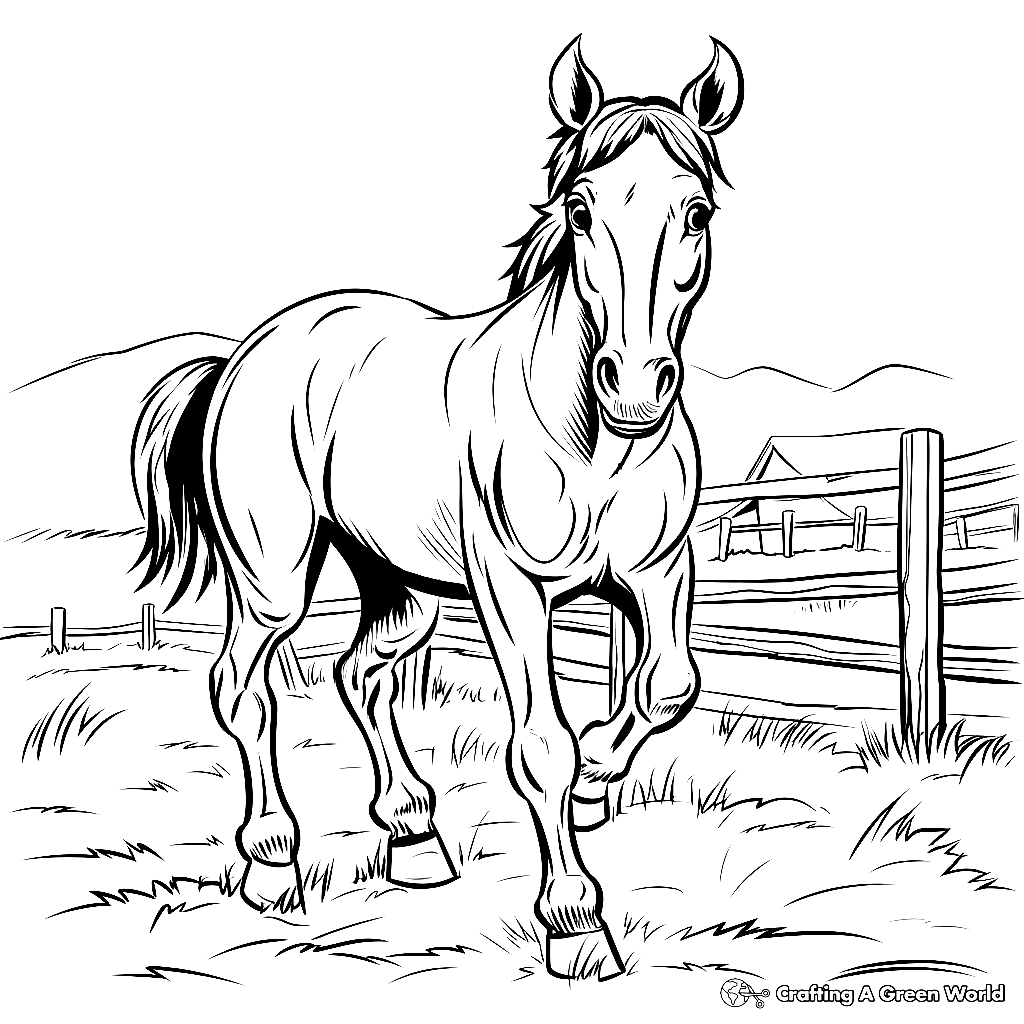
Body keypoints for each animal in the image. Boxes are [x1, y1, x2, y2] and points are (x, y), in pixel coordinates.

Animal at [131, 36, 743, 981]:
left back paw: (414, 835)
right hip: (273, 580)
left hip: (402, 586)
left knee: (359, 671)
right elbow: (541, 745)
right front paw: (575, 924)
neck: (592, 443)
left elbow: (669, 685)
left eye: (698, 212)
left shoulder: (655, 572)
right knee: (242, 689)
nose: (635, 387)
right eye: (579, 208)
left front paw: (599, 781)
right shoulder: (512, 588)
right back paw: (273, 861)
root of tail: (242, 354)